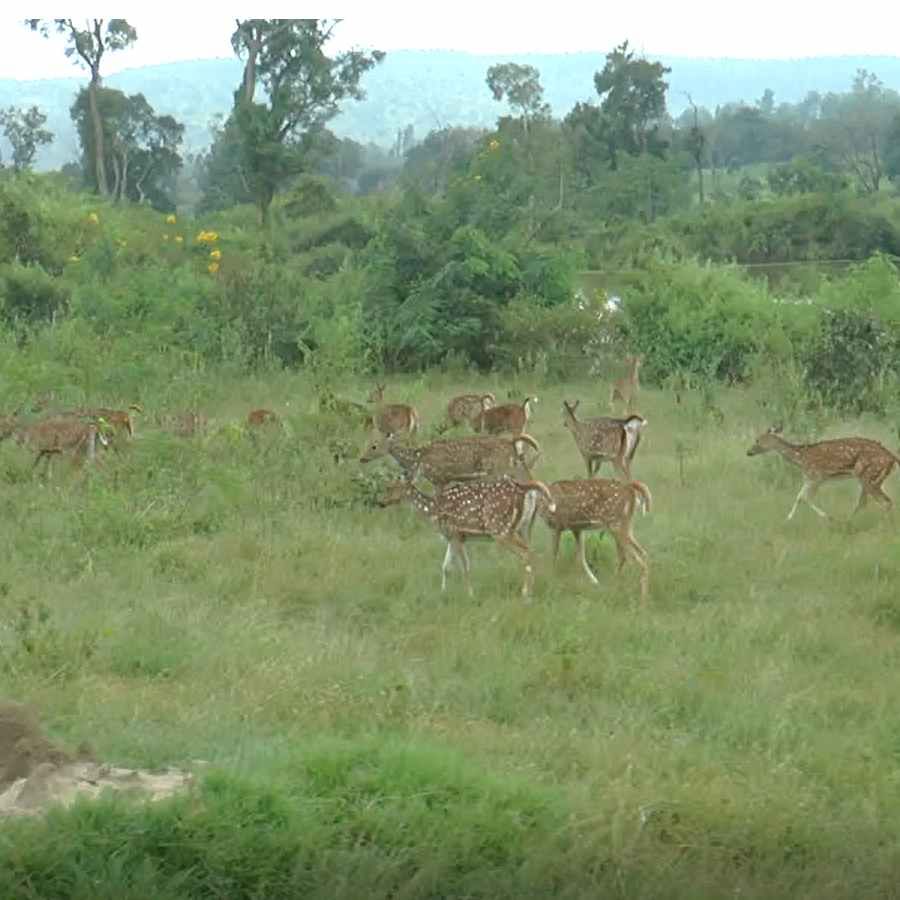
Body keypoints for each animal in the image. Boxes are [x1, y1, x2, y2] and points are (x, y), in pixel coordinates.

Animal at [360, 430, 540, 486]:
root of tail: (510, 443)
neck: (417, 459)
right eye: (367, 442)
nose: (362, 458)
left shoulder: (439, 478)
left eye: (374, 446)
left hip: (497, 470)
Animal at [378, 478, 556, 596]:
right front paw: (443, 593)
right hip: (524, 528)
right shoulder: (454, 537)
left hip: (500, 529)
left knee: (527, 554)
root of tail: (526, 490)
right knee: (532, 552)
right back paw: (535, 588)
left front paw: (470, 594)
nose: (381, 502)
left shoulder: (455, 533)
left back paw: (526, 593)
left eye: (390, 487)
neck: (433, 510)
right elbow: (446, 567)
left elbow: (465, 567)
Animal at [744, 428, 900, 524]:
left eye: (758, 440)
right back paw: (848, 522)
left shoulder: (816, 476)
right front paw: (787, 519)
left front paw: (828, 518)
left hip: (869, 476)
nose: (748, 452)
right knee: (864, 502)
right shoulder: (809, 478)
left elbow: (806, 498)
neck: (800, 458)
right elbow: (799, 497)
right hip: (870, 479)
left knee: (885, 501)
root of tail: (892, 458)